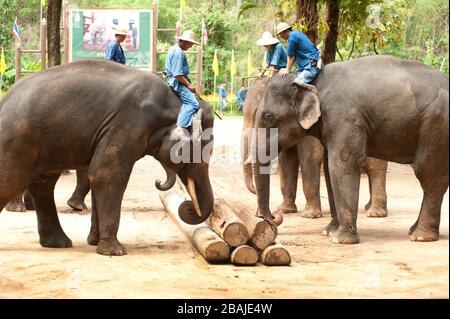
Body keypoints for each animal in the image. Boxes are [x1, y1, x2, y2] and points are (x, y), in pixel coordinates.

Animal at [0, 58, 215, 256]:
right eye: (205, 151)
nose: (189, 207)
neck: (175, 102)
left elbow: (97, 176)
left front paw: (95, 243)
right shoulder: (128, 123)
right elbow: (107, 175)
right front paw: (115, 251)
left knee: (43, 184)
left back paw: (59, 243)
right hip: (17, 143)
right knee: (12, 183)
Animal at [243, 76, 390, 219]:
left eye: (268, 117)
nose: (270, 216)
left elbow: (310, 158)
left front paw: (309, 215)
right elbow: (286, 160)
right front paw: (284, 210)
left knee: (375, 168)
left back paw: (375, 213)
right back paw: (368, 207)